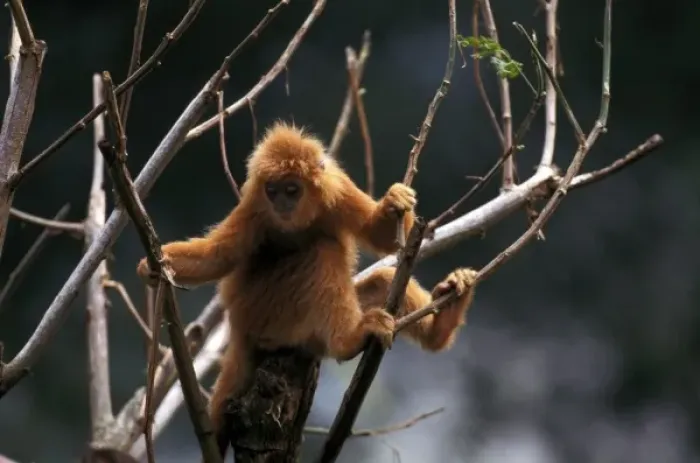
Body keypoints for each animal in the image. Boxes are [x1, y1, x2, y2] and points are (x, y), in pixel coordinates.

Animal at [136, 122, 478, 450]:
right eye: (273, 191)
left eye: (292, 189)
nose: (282, 204)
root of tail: (240, 329)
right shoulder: (254, 208)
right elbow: (217, 256)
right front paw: (154, 266)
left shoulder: (336, 188)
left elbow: (378, 235)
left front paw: (395, 202)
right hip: (273, 314)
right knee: (323, 253)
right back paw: (351, 340)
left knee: (379, 279)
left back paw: (441, 325)